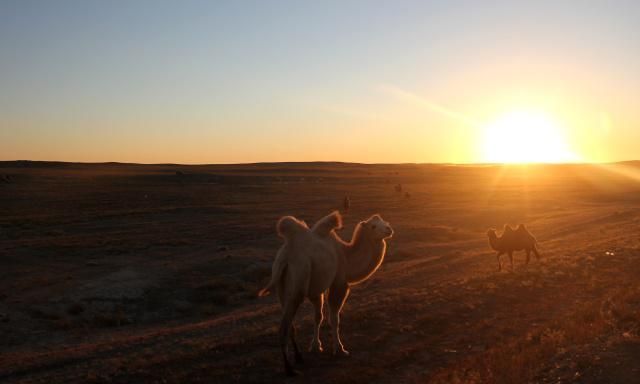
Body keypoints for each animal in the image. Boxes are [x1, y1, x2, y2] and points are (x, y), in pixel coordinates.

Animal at [258, 210, 392, 376]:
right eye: (373, 226)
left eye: (385, 222)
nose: (389, 229)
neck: (346, 257)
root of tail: (285, 258)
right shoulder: (339, 284)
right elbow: (334, 318)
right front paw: (340, 349)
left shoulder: (317, 290)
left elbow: (318, 317)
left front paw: (316, 346)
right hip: (298, 283)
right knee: (284, 327)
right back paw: (289, 369)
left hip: (282, 290)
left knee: (290, 325)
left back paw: (299, 357)